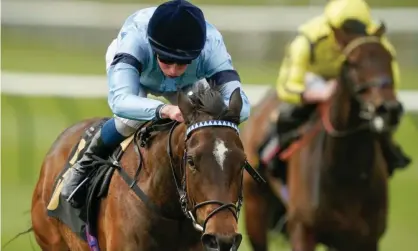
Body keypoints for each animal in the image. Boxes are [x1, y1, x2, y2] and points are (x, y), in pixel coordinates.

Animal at [242, 24, 402, 250]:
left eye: (389, 58)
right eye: (352, 62)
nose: (389, 109)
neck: (347, 175)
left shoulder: (366, 238)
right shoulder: (303, 229)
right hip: (255, 209)